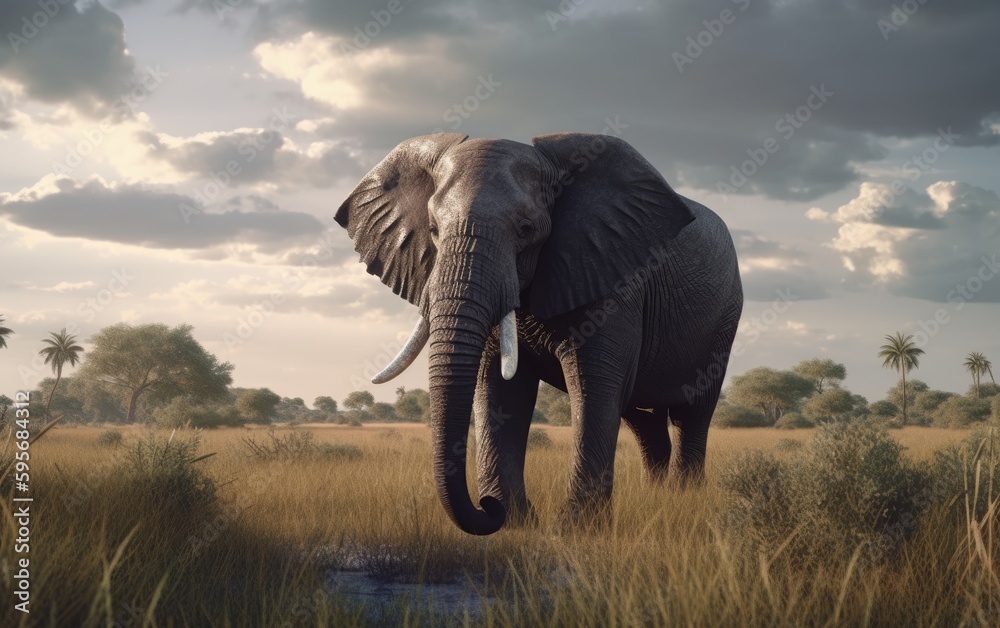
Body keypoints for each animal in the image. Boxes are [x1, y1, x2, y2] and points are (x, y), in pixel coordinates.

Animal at [335, 132, 743, 536]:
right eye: (433, 230)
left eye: (526, 229)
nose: (486, 507)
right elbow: (498, 389)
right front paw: (515, 522)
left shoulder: (612, 274)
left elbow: (592, 385)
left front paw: (575, 531)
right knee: (644, 421)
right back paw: (656, 497)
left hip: (725, 318)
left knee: (692, 413)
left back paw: (685, 498)